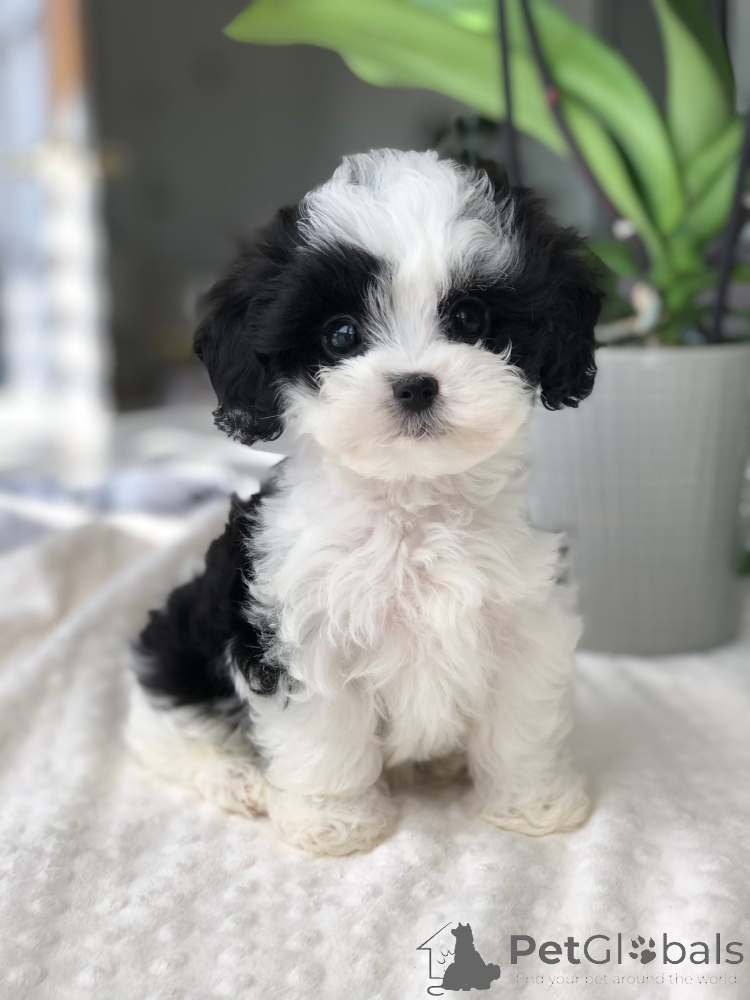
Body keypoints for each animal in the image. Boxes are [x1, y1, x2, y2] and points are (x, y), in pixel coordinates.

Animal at [127, 149, 600, 855]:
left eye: (470, 319)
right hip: (179, 645)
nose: (415, 384)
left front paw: (533, 802)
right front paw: (335, 822)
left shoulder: (524, 618)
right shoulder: (298, 632)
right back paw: (237, 778)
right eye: (341, 335)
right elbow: (325, 738)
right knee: (164, 728)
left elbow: (522, 724)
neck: (411, 506)